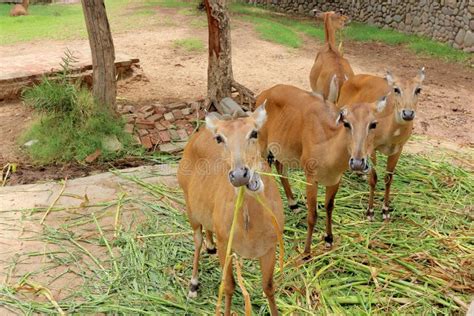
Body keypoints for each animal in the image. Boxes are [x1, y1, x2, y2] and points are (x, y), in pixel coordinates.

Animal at [177, 105, 282, 314]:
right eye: (219, 138)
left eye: (254, 132)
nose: (240, 174)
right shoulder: (226, 244)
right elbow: (229, 286)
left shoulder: (270, 246)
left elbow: (268, 287)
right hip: (189, 206)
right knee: (197, 239)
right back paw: (193, 285)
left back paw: (210, 246)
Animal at [256, 84, 386, 256]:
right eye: (346, 123)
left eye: (373, 124)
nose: (358, 162)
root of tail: (263, 94)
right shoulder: (311, 178)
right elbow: (313, 215)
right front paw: (306, 251)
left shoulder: (335, 180)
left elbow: (329, 207)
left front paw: (329, 239)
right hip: (262, 146)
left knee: (280, 167)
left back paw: (293, 204)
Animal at [336, 67, 426, 220]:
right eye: (396, 89)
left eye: (418, 89)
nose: (408, 113)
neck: (389, 133)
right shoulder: (372, 147)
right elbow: (374, 178)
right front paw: (370, 212)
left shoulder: (398, 149)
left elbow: (388, 178)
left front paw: (385, 211)